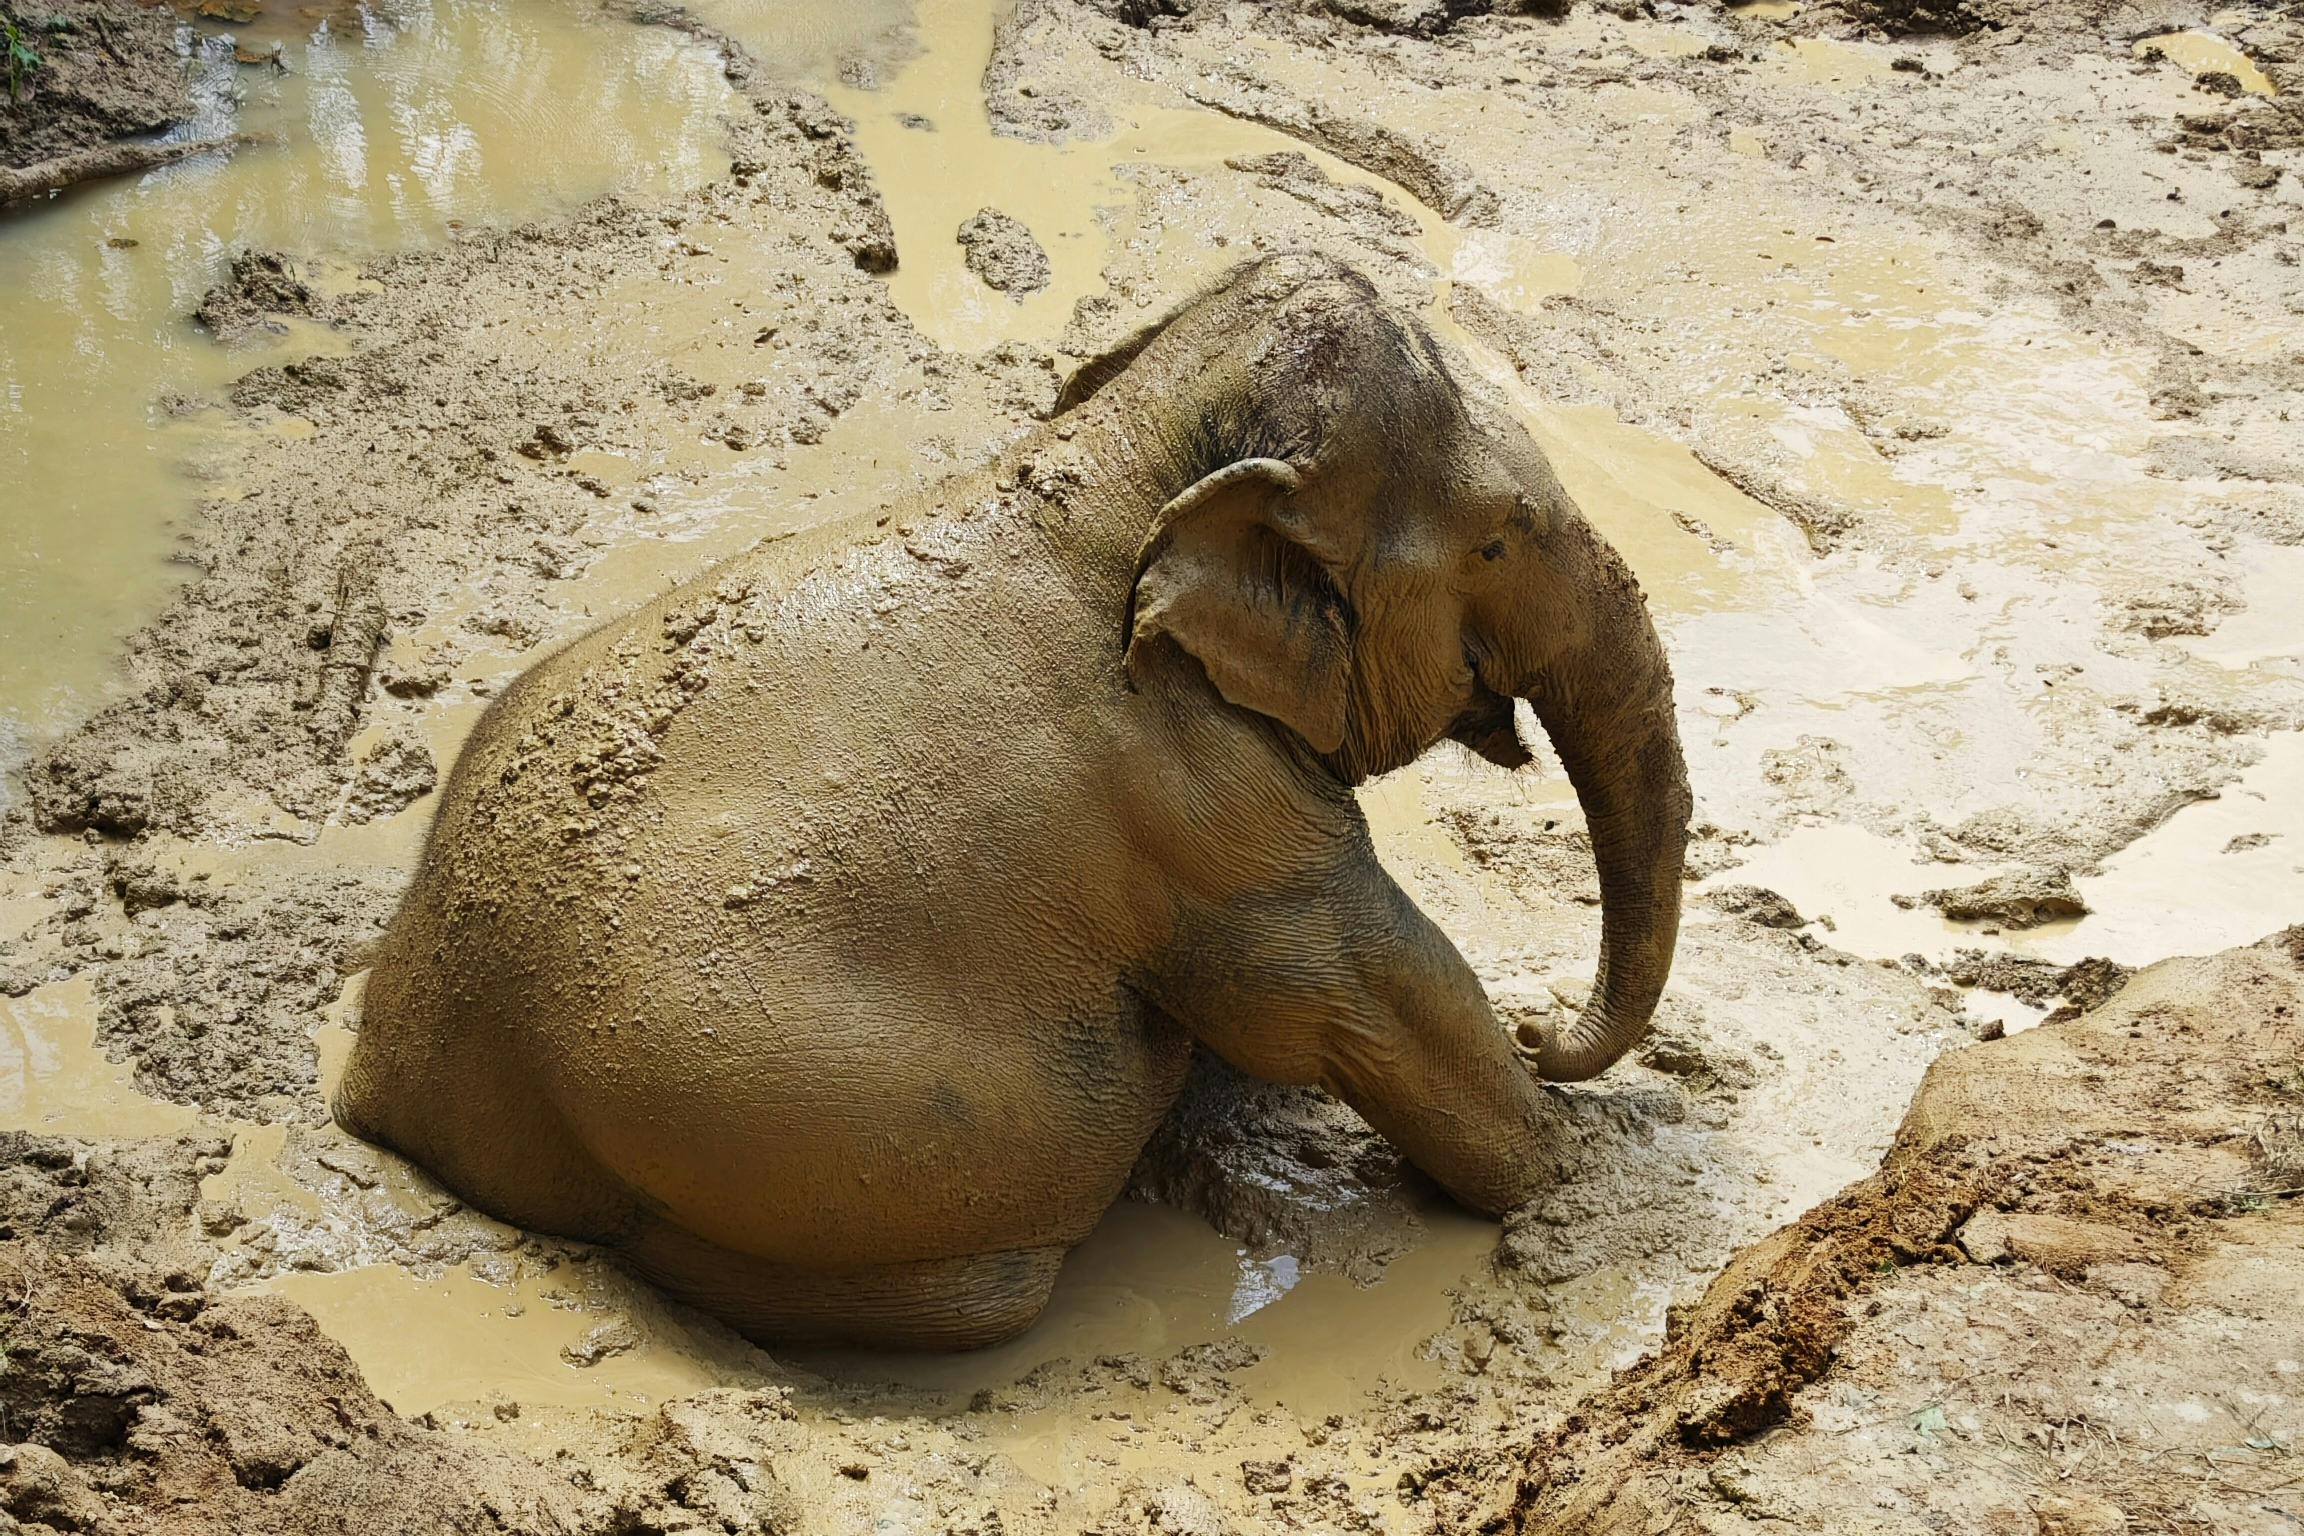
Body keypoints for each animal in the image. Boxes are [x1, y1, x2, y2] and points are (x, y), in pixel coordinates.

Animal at [335, 252, 1693, 1351]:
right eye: (1501, 539)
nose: (1542, 1021)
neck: (1121, 460)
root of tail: (388, 1081)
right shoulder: (1211, 805)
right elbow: (1366, 990)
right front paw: (1572, 1170)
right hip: (801, 1126)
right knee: (1000, 1256)